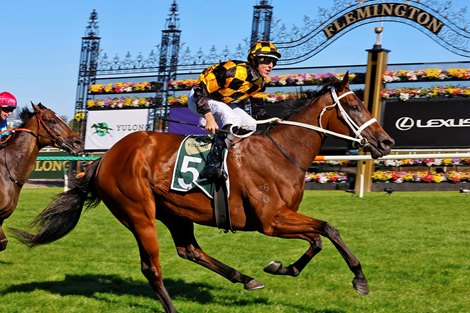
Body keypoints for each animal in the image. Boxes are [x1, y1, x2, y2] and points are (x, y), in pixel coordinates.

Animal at [11, 74, 392, 312]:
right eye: (355, 106)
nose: (386, 142)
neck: (279, 153)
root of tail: (105, 157)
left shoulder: (281, 218)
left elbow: (320, 236)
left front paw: (281, 268)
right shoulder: (271, 221)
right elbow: (326, 230)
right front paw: (359, 280)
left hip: (175, 212)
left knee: (189, 250)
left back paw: (246, 278)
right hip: (138, 212)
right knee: (152, 266)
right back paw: (174, 306)